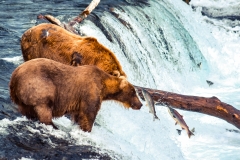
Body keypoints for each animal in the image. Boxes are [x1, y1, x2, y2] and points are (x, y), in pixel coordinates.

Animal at [9, 58, 142, 132]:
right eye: (133, 92)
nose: (140, 104)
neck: (104, 86)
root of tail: (15, 75)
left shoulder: (80, 99)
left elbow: (79, 114)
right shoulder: (90, 91)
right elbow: (89, 113)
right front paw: (86, 130)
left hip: (22, 96)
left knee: (27, 110)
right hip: (40, 86)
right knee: (44, 108)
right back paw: (53, 126)